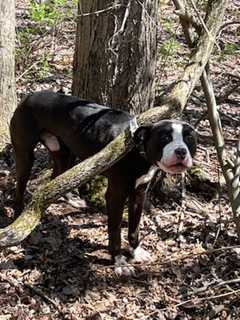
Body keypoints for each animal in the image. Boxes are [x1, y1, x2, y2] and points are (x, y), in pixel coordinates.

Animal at [9, 92, 197, 276]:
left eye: (189, 138)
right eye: (165, 137)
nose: (181, 151)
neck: (138, 151)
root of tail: (29, 96)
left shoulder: (139, 194)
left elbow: (134, 228)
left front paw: (136, 251)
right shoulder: (115, 195)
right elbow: (115, 232)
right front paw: (119, 262)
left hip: (64, 154)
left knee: (57, 178)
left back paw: (71, 200)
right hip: (25, 154)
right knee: (20, 187)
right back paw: (19, 220)